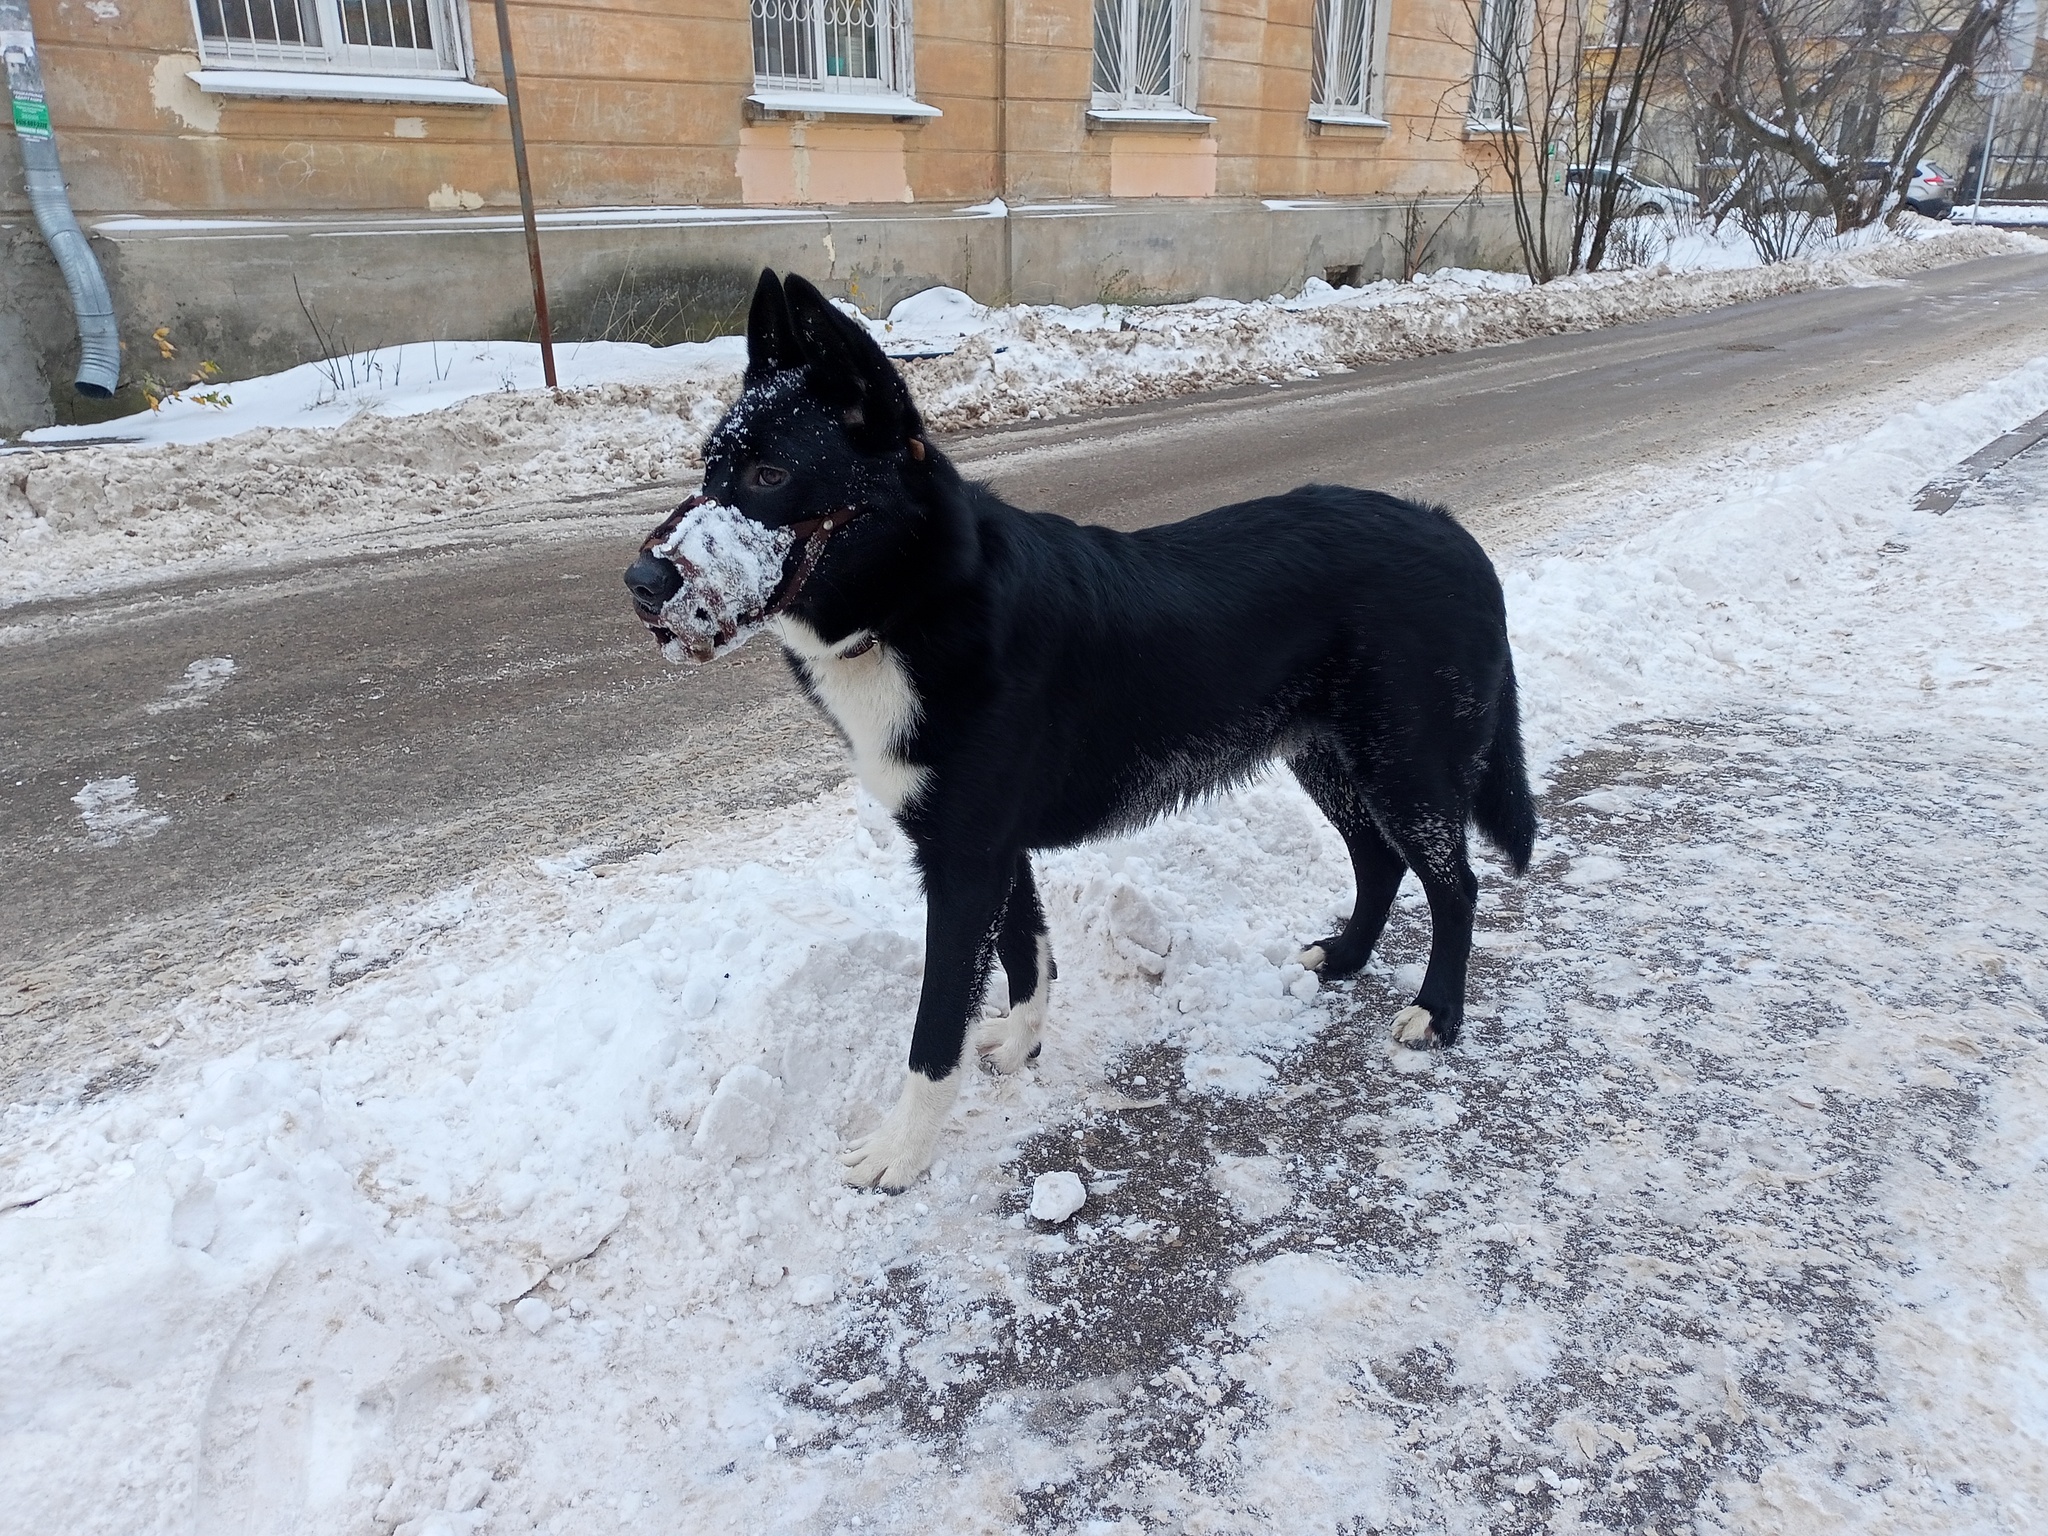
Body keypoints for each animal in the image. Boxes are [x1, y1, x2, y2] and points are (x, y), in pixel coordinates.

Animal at [626, 274, 1540, 1187]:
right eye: (710, 468)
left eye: (770, 472)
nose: (640, 582)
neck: (916, 601)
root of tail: (1452, 529)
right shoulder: (993, 850)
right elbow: (1030, 956)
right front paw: (1023, 1045)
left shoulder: (965, 862)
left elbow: (936, 1031)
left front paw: (903, 1151)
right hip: (1330, 759)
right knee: (1379, 862)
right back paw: (1346, 958)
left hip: (1406, 766)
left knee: (1456, 884)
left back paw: (1436, 1012)